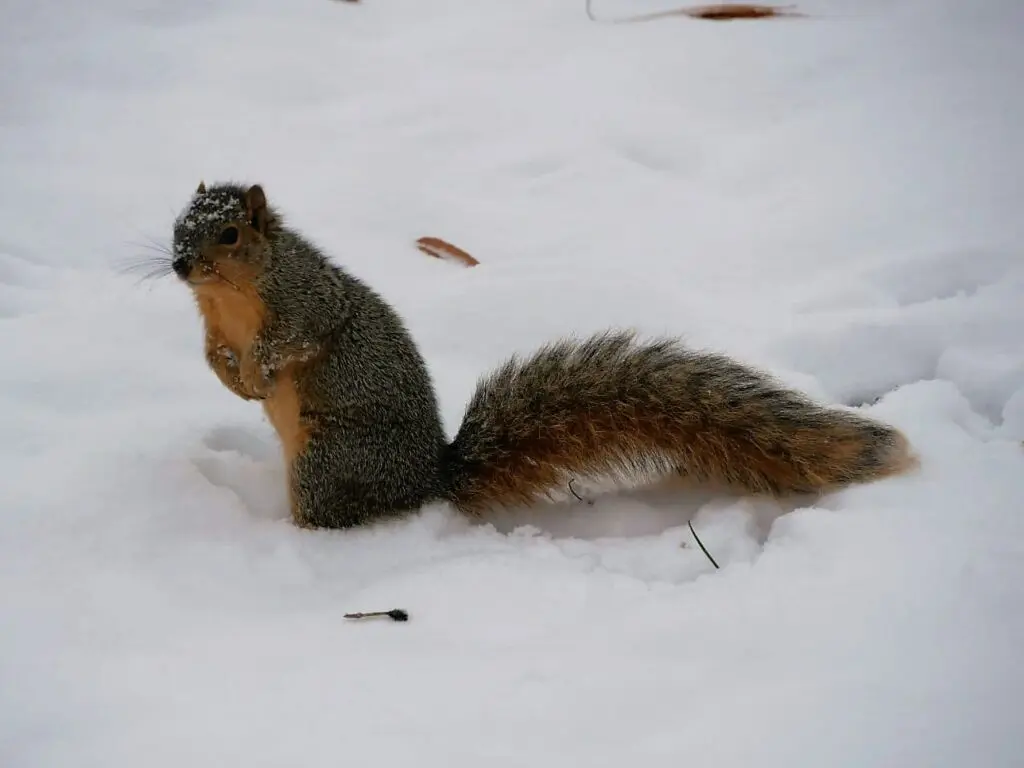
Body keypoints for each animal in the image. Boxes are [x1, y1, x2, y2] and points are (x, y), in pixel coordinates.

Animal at [170, 181, 918, 529]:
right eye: (177, 224)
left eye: (230, 233)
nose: (178, 265)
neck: (230, 297)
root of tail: (427, 483)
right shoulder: (211, 323)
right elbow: (208, 353)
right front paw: (230, 376)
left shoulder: (307, 301)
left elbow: (297, 338)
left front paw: (258, 372)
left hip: (329, 460)